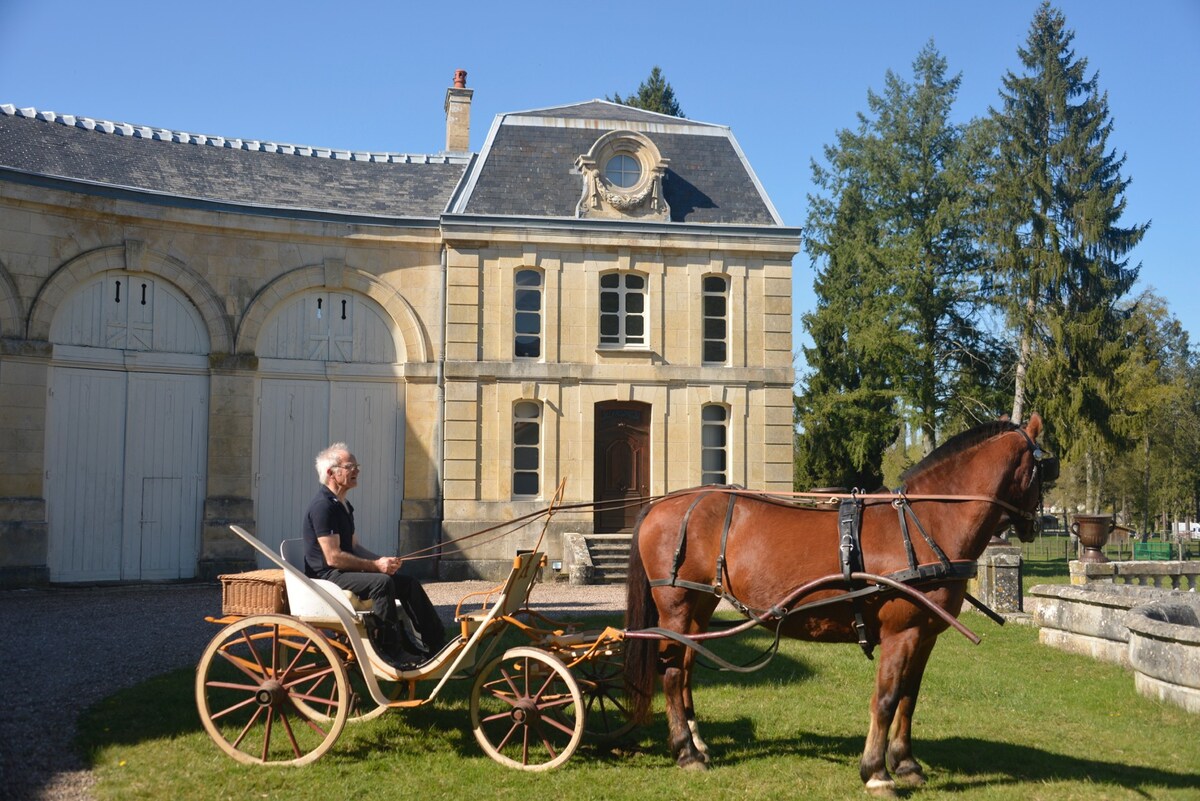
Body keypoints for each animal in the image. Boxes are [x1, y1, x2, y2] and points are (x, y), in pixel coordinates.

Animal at [624, 412, 1056, 796]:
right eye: (1046, 469)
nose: (1038, 525)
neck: (928, 521)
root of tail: (662, 504)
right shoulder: (901, 633)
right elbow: (886, 698)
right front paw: (877, 772)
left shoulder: (925, 635)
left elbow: (909, 698)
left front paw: (906, 763)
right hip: (676, 608)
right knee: (672, 674)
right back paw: (685, 752)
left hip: (699, 608)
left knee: (686, 668)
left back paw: (697, 743)